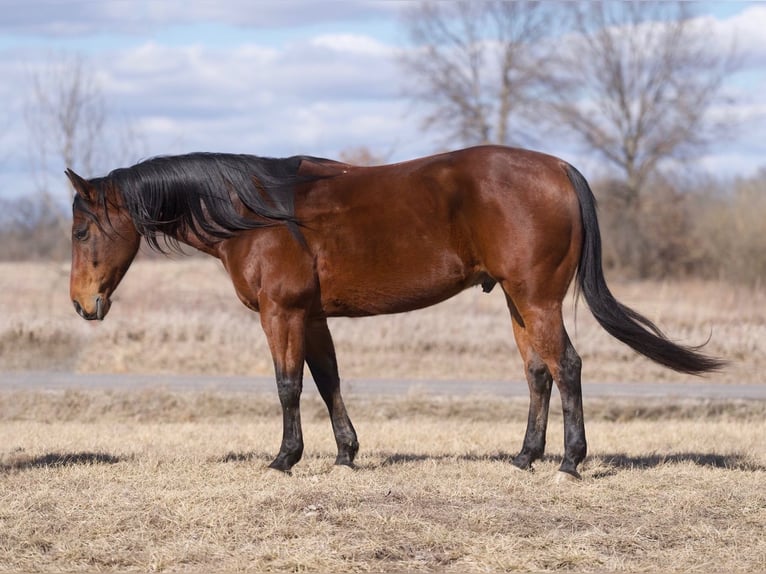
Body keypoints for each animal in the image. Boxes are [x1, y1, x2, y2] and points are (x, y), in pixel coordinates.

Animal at [67, 145, 728, 482]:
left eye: (80, 230)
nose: (81, 304)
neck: (258, 214)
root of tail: (559, 168)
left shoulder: (282, 313)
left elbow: (287, 385)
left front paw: (285, 458)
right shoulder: (312, 317)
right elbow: (327, 380)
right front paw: (345, 453)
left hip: (536, 298)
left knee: (566, 367)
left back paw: (568, 461)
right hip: (517, 301)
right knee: (537, 372)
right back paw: (526, 456)